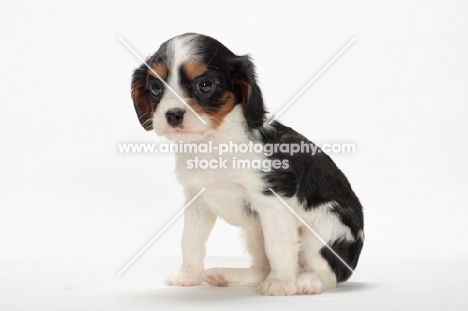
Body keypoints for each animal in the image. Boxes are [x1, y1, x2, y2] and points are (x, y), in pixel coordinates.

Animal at [130, 33, 364, 296]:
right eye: (155, 87)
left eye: (205, 85)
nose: (172, 115)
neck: (213, 141)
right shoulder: (197, 201)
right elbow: (190, 240)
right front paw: (188, 275)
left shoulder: (273, 199)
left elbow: (278, 247)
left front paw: (281, 282)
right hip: (255, 233)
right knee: (261, 268)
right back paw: (227, 275)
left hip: (327, 226)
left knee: (328, 272)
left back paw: (307, 281)